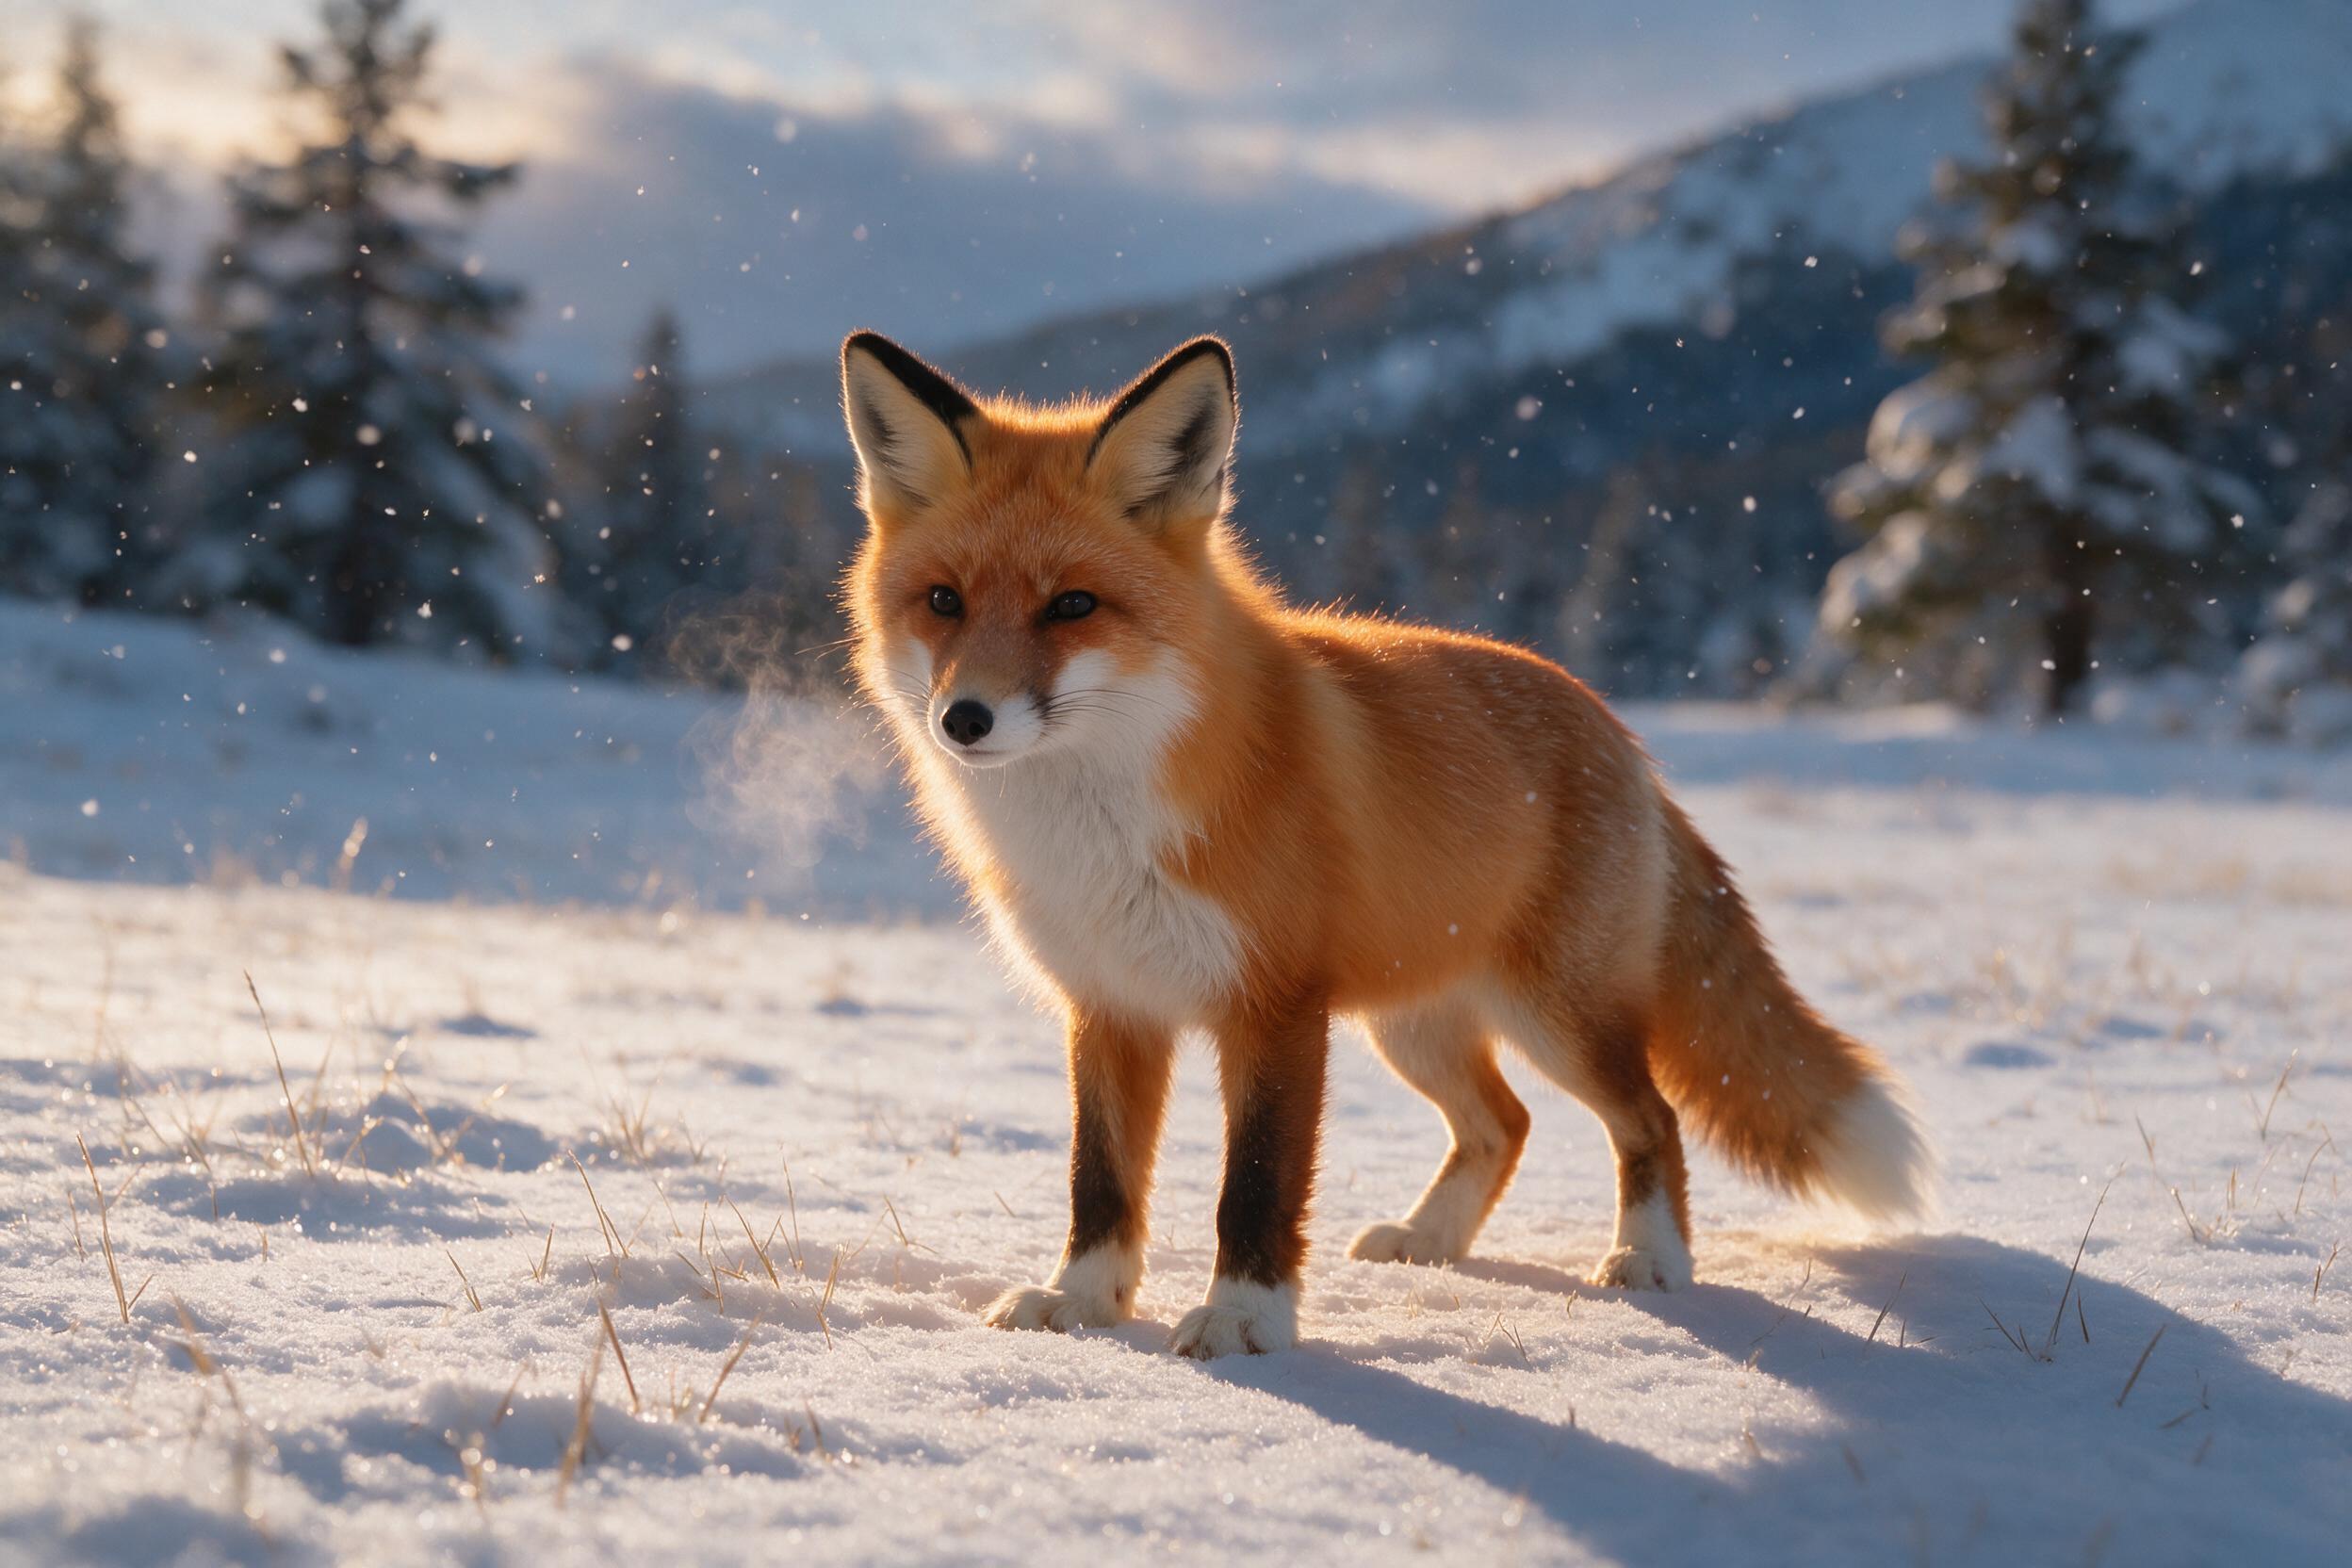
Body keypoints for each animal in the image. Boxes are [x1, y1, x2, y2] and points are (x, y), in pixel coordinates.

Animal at [839, 330, 1932, 1359]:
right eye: (943, 600)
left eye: (1072, 605)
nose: (965, 719)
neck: (1102, 825)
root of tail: (1618, 730)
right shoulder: (1109, 1006)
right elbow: (1099, 1180)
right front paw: (1082, 1303)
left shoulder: (1275, 1007)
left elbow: (1256, 1184)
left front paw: (1245, 1322)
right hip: (1413, 1023)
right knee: (1505, 1123)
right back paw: (1432, 1239)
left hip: (1559, 1016)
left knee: (1649, 1117)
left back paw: (1650, 1258)